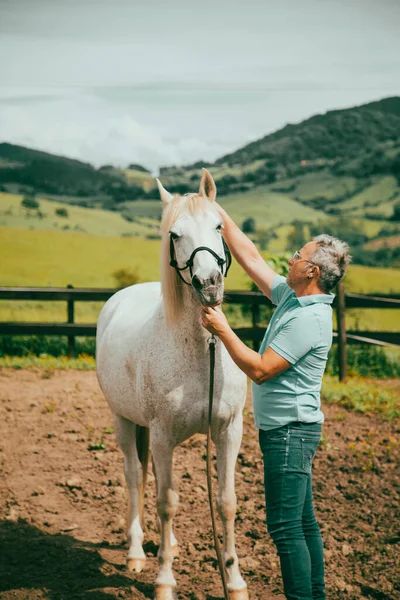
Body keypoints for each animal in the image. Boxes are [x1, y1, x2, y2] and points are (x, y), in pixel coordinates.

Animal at [95, 169, 248, 600]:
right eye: (175, 235)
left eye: (219, 226)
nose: (209, 284)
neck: (199, 350)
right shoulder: (161, 435)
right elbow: (166, 502)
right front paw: (164, 580)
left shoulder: (229, 431)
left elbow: (226, 502)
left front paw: (234, 581)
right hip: (124, 421)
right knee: (135, 476)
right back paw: (136, 551)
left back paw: (172, 545)